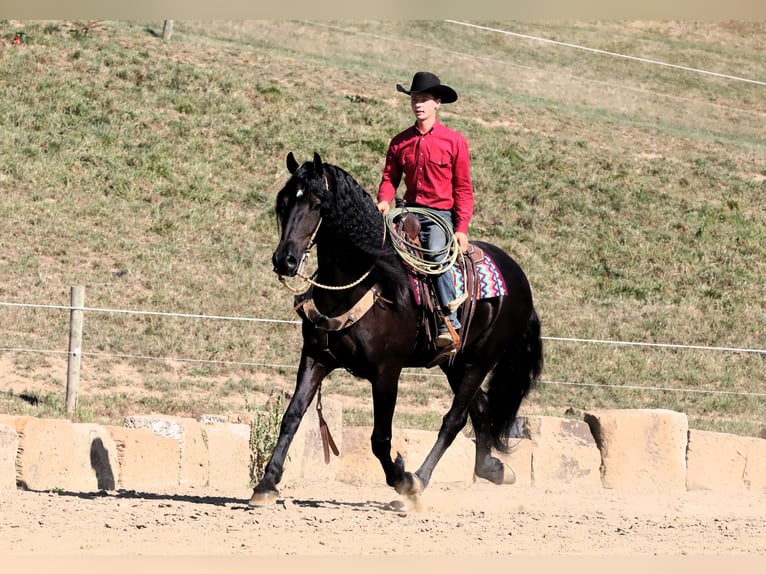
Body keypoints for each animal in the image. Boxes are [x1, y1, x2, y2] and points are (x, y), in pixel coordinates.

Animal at [249, 153, 544, 508]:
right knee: (480, 409)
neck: (364, 279)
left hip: (481, 359)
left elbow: (380, 438)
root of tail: (518, 277)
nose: (285, 260)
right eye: (284, 202)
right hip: (455, 362)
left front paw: (402, 480)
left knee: (454, 419)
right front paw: (266, 484)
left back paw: (419, 480)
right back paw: (491, 468)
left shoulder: (387, 371)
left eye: (318, 204)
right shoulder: (316, 357)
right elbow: (291, 417)